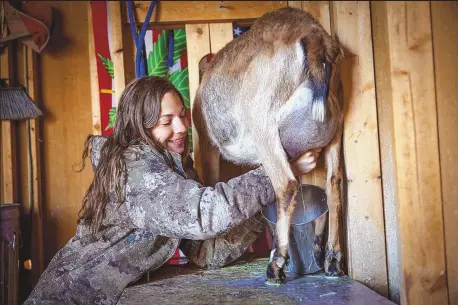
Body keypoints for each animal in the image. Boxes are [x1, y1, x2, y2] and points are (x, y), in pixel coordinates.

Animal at [191, 7, 346, 282]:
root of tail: (313, 36)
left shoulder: (207, 145)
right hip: (335, 131)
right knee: (334, 184)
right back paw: (332, 262)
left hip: (263, 126)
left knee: (286, 184)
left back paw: (276, 266)